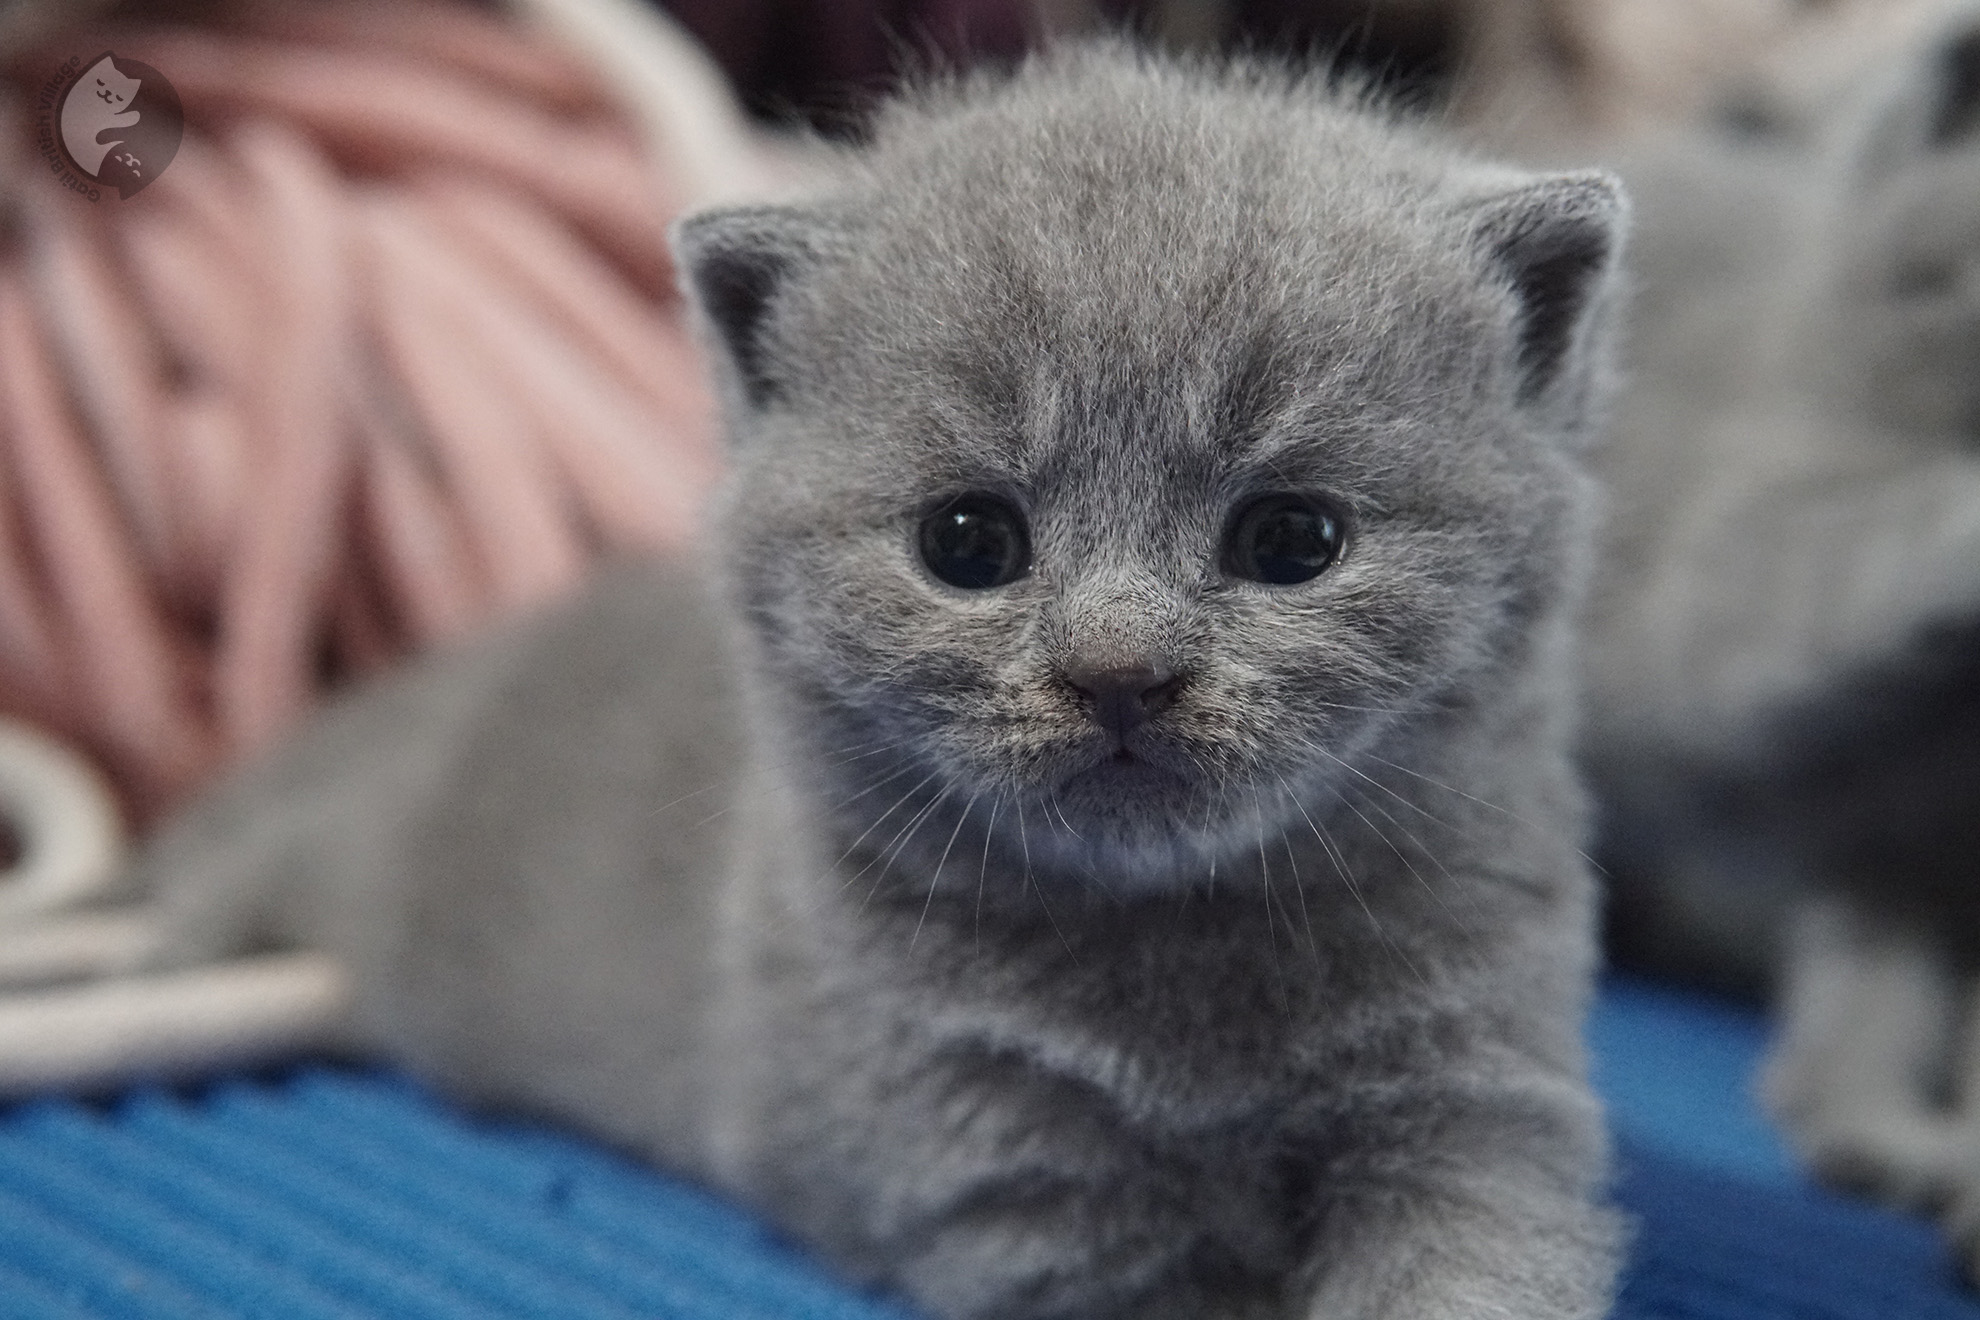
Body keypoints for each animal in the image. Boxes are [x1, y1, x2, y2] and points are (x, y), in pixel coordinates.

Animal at [104, 43, 1623, 1320]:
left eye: (1294, 539)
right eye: (969, 543)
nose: (1120, 672)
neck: (1180, 964)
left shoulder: (1482, 1101)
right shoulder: (1009, 1187)